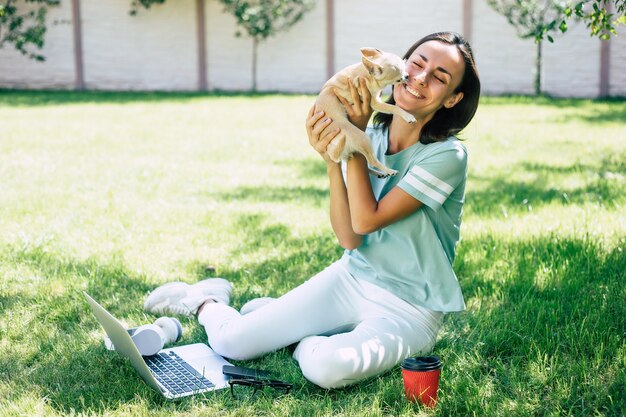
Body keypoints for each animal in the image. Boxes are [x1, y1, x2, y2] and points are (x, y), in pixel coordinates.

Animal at [316, 47, 414, 177]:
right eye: (400, 75)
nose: (408, 76)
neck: (367, 74)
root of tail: (334, 154)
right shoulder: (375, 103)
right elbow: (395, 108)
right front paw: (408, 116)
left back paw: (379, 173)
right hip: (362, 137)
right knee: (372, 161)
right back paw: (389, 171)